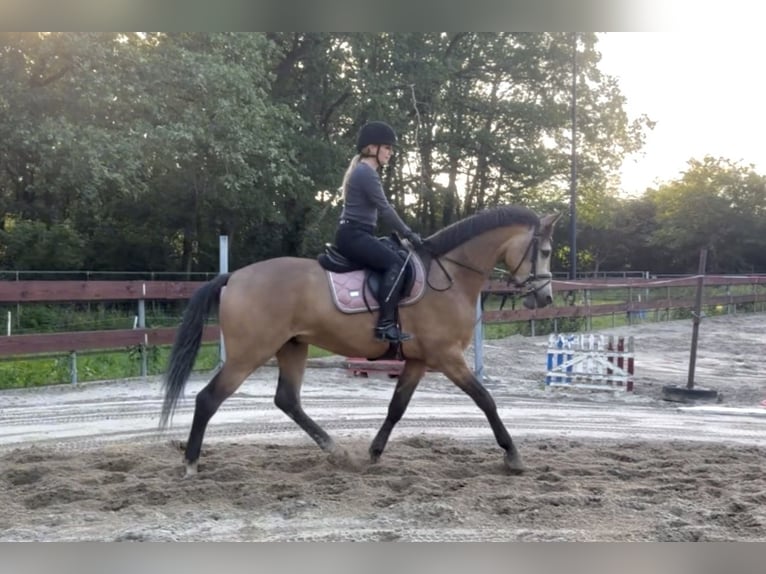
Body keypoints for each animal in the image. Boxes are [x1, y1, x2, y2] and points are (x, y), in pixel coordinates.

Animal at [160, 205, 560, 477]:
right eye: (545, 252)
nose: (545, 298)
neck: (449, 275)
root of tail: (234, 277)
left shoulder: (419, 360)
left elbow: (397, 408)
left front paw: (373, 453)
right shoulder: (447, 357)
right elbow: (486, 400)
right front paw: (513, 455)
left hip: (292, 346)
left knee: (287, 400)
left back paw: (337, 452)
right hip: (249, 354)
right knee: (208, 399)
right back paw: (191, 463)